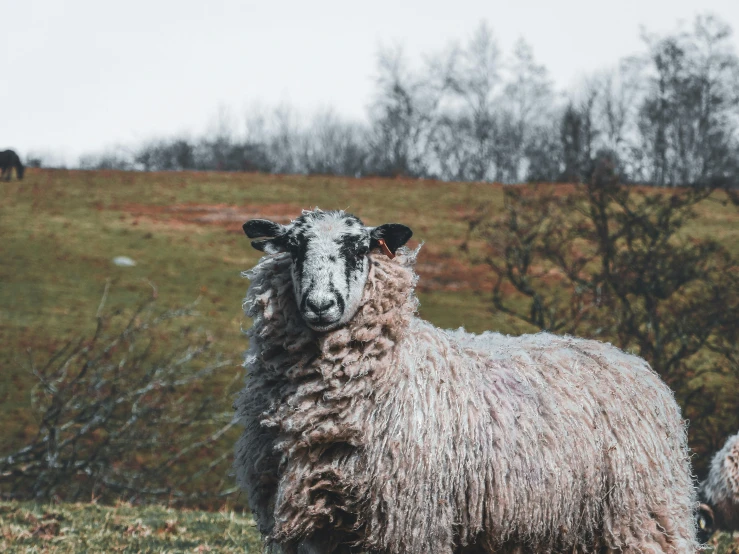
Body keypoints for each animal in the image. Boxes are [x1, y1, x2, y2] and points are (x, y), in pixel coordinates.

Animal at [236, 208, 700, 552]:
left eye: (359, 247)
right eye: (294, 246)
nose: (320, 305)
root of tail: (631, 361)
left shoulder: (409, 522)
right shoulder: (316, 528)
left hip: (642, 515)